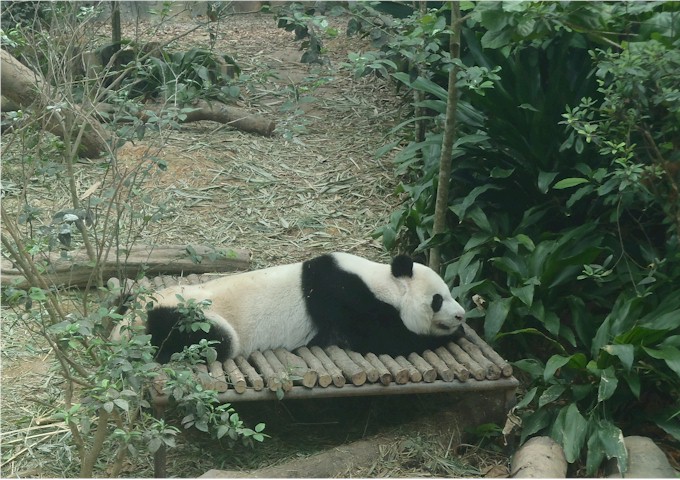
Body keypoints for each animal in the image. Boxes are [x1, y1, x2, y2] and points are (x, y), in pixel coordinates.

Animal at [111, 252, 466, 363]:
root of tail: (124, 328)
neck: (383, 282)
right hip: (194, 316)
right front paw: (449, 336)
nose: (461, 314)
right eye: (438, 299)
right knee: (210, 339)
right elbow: (381, 341)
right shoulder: (345, 300)